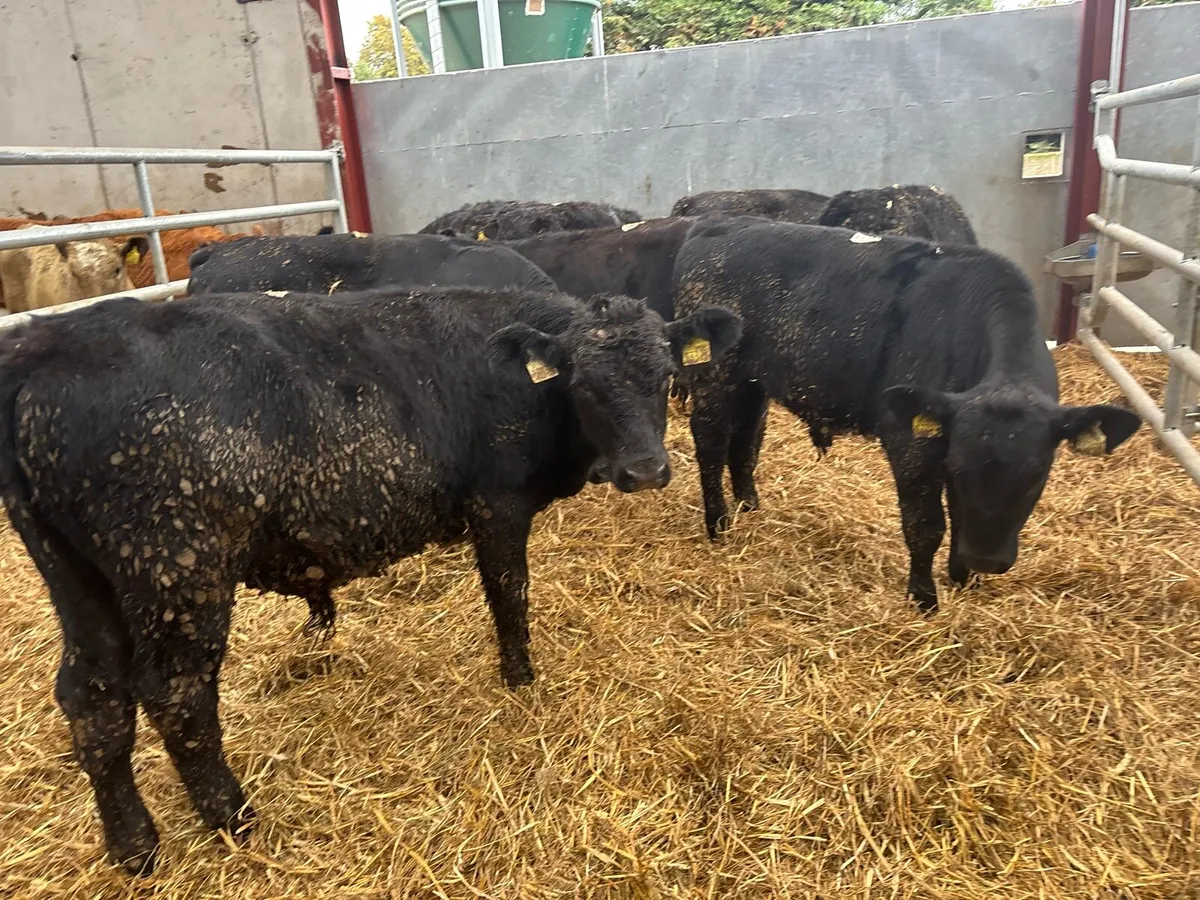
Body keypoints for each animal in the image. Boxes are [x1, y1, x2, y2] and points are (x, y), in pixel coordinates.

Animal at [0, 286, 741, 874]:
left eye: (665, 375)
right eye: (584, 384)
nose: (646, 471)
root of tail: (52, 339)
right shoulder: (497, 505)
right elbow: (509, 593)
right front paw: (521, 679)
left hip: (82, 581)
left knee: (93, 696)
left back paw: (134, 846)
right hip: (177, 567)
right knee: (176, 692)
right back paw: (233, 816)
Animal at [670, 217, 1140, 612]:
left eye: (1037, 474)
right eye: (961, 466)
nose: (986, 560)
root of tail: (717, 223)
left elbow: (957, 516)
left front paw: (963, 578)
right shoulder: (912, 444)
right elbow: (927, 524)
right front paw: (924, 597)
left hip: (752, 383)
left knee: (745, 440)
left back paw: (749, 505)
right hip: (712, 376)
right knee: (711, 442)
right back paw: (719, 523)